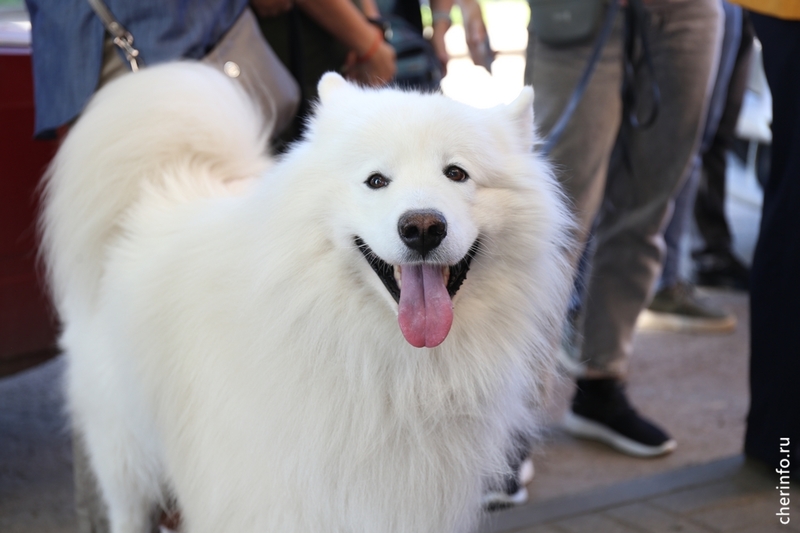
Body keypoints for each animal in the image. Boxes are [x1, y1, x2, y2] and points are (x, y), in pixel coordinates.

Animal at [39, 63, 576, 532]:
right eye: (376, 180)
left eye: (457, 174)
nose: (422, 227)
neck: (379, 363)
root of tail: (161, 184)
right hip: (123, 448)